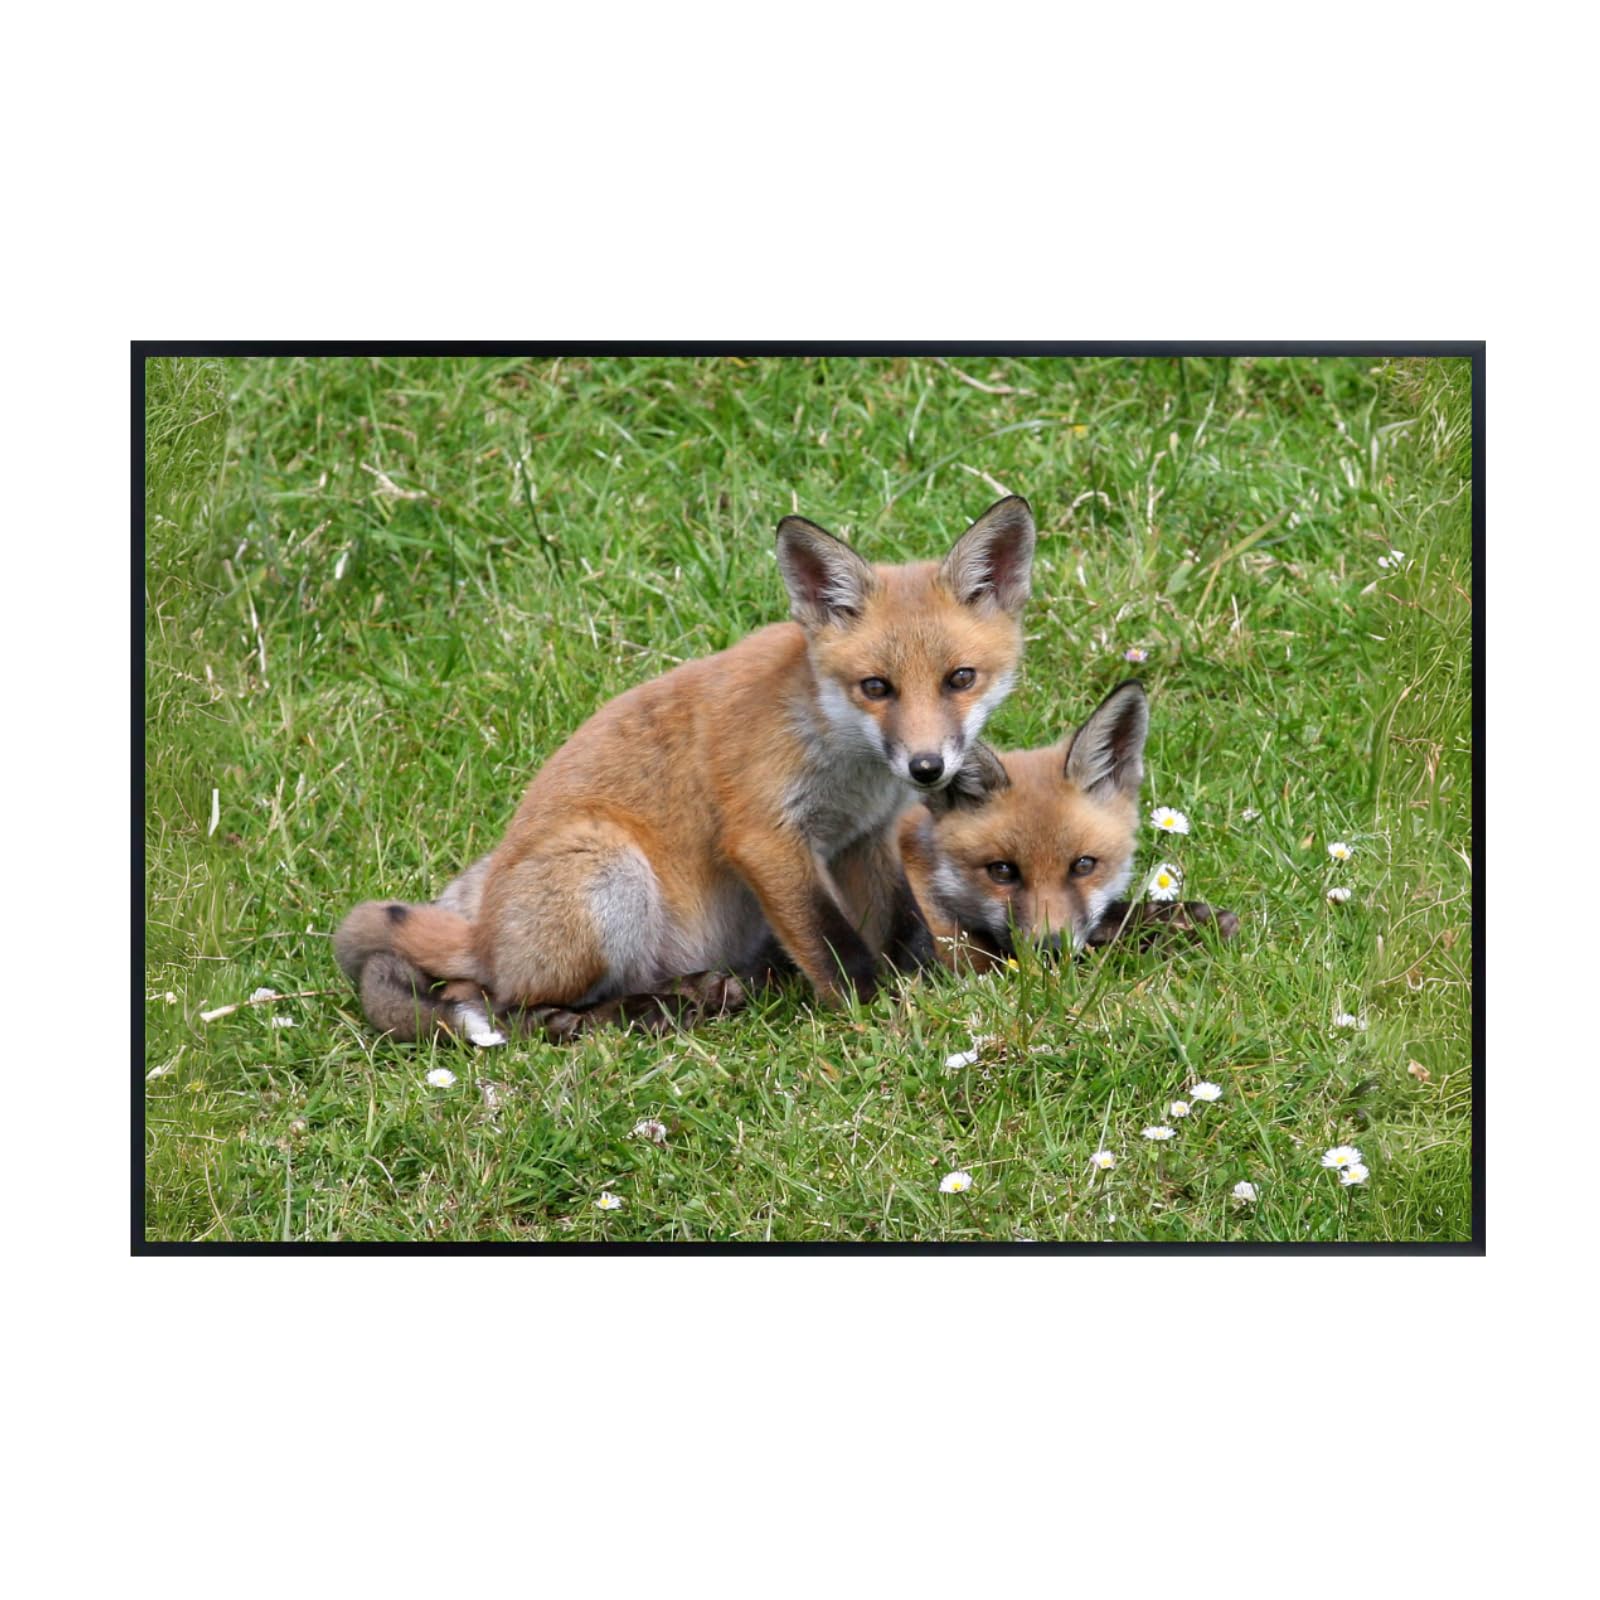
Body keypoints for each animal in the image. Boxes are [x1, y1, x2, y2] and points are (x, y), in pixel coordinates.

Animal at [333, 496, 1038, 1043]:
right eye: (876, 687)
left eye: (960, 679)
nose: (926, 767)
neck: (842, 752)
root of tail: (481, 933)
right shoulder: (765, 837)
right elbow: (833, 943)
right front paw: (883, 1013)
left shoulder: (864, 837)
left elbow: (901, 925)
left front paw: (931, 985)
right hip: (606, 870)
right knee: (506, 1005)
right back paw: (638, 1014)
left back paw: (702, 993)